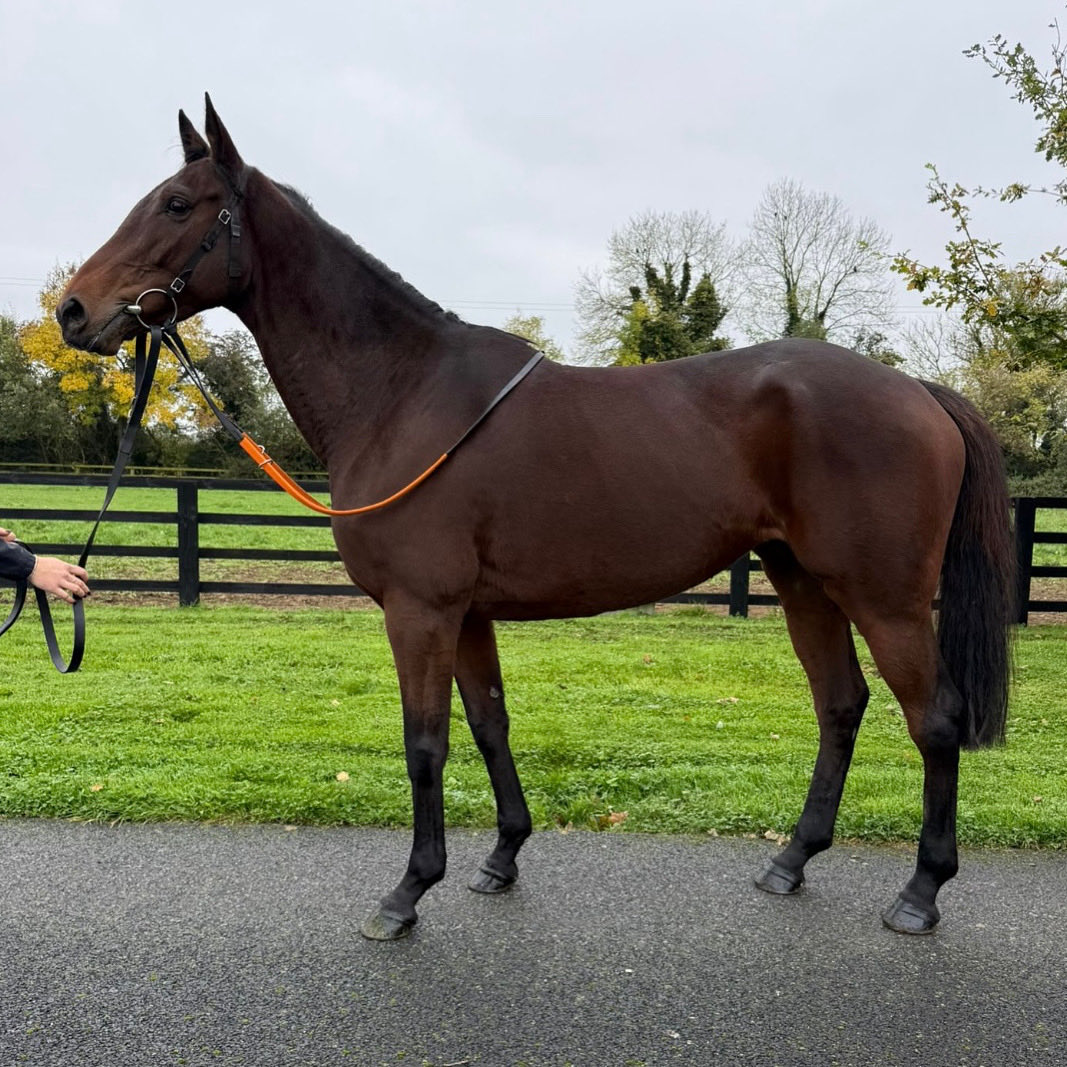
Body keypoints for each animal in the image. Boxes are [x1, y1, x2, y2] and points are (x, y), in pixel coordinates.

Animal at [57, 96, 1015, 941]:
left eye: (177, 204)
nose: (72, 309)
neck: (401, 392)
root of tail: (917, 390)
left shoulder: (420, 611)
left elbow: (425, 744)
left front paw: (407, 892)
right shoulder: (467, 612)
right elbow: (488, 724)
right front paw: (501, 856)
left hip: (883, 596)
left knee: (932, 719)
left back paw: (920, 892)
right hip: (801, 580)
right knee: (840, 704)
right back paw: (791, 858)